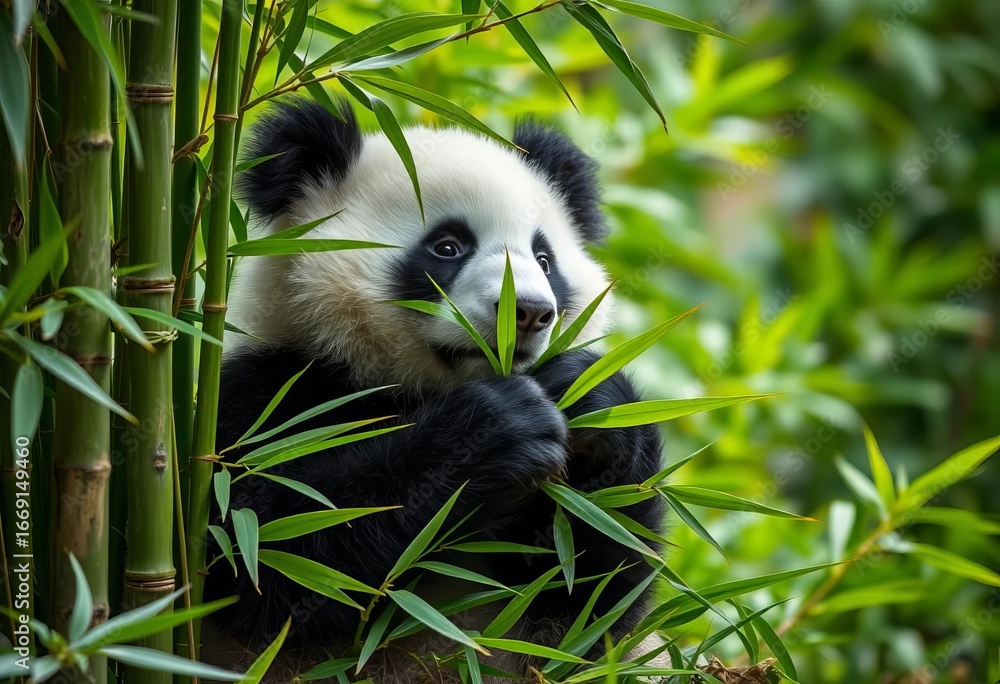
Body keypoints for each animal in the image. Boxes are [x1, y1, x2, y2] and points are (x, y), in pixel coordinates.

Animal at [203, 97, 666, 682]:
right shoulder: (264, 396)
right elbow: (263, 553)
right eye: (448, 246)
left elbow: (585, 616)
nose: (530, 312)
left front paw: (593, 405)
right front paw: (494, 433)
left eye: (544, 260)